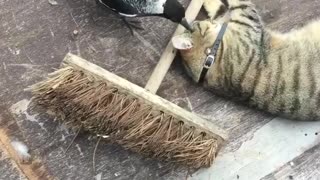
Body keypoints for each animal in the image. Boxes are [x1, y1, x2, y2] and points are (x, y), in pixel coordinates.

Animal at [172, 0, 320, 121]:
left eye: (196, 23)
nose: (193, 21)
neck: (211, 60)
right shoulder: (247, 17)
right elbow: (238, 4)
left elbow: (220, 9)